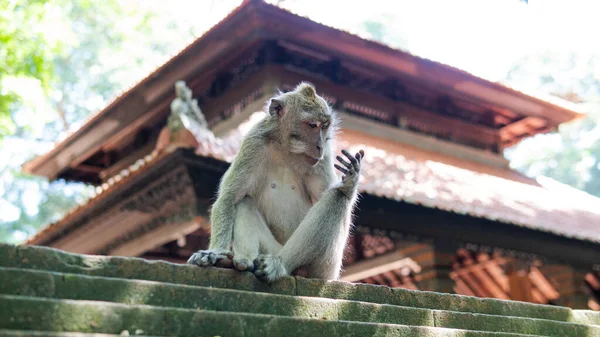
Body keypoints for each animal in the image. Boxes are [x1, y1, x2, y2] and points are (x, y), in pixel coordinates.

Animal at [188, 81, 364, 280]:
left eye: (325, 126)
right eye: (313, 125)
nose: (319, 145)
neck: (285, 148)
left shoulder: (324, 155)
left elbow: (328, 198)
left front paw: (350, 181)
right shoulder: (254, 142)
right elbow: (230, 197)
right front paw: (216, 252)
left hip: (326, 267)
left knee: (336, 199)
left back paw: (278, 265)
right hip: (272, 248)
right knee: (244, 201)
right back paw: (241, 262)